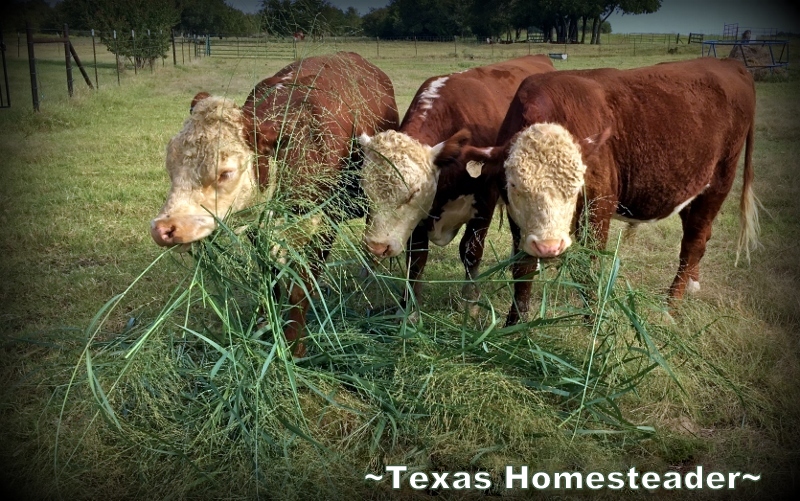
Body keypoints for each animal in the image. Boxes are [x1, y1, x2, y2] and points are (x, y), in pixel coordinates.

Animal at [150, 51, 400, 356]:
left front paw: (294, 346)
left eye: (225, 173)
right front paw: (264, 325)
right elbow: (270, 278)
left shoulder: (324, 221)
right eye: (170, 163)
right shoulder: (260, 228)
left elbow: (302, 285)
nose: (163, 228)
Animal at [358, 54, 552, 316]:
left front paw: (470, 302)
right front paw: (409, 309)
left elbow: (470, 251)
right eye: (366, 192)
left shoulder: (484, 201)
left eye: (412, 193)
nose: (378, 247)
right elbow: (416, 258)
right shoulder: (422, 214)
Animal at [456, 57, 756, 320]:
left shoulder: (599, 206)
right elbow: (523, 269)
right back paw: (692, 285)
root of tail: (730, 64)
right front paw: (515, 325)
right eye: (514, 184)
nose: (550, 246)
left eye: (577, 183)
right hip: (691, 186)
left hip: (720, 180)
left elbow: (588, 266)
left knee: (693, 242)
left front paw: (592, 321)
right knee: (700, 235)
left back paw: (671, 306)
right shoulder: (521, 222)